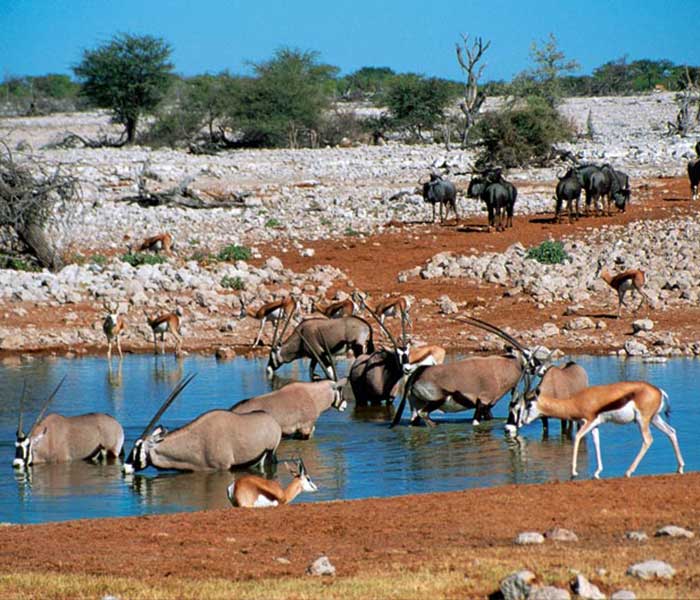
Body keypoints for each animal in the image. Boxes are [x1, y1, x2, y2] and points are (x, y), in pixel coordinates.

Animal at [123, 376, 282, 474]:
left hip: (269, 453)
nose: (125, 467)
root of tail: (272, 421)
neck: (197, 441)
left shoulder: (222, 468)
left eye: (138, 447)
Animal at [520, 380, 684, 478]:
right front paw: (597, 471)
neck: (575, 402)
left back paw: (628, 471)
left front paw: (573, 471)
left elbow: (577, 437)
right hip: (654, 419)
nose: (523, 421)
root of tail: (659, 391)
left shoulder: (588, 421)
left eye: (529, 404)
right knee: (671, 432)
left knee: (648, 440)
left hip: (642, 421)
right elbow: (596, 442)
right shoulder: (595, 425)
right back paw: (680, 467)